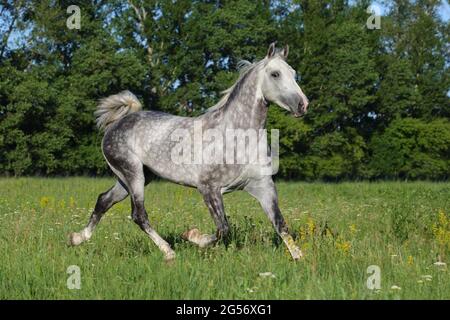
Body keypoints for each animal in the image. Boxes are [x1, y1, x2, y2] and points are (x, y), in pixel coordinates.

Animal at [68, 43, 310, 262]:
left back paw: (77, 238)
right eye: (275, 74)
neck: (237, 136)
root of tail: (116, 124)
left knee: (104, 200)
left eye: (294, 73)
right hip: (133, 174)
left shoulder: (262, 186)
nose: (303, 105)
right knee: (138, 214)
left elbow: (280, 224)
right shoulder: (209, 188)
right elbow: (223, 229)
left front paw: (299, 257)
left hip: (132, 178)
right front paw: (192, 236)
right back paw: (168, 252)